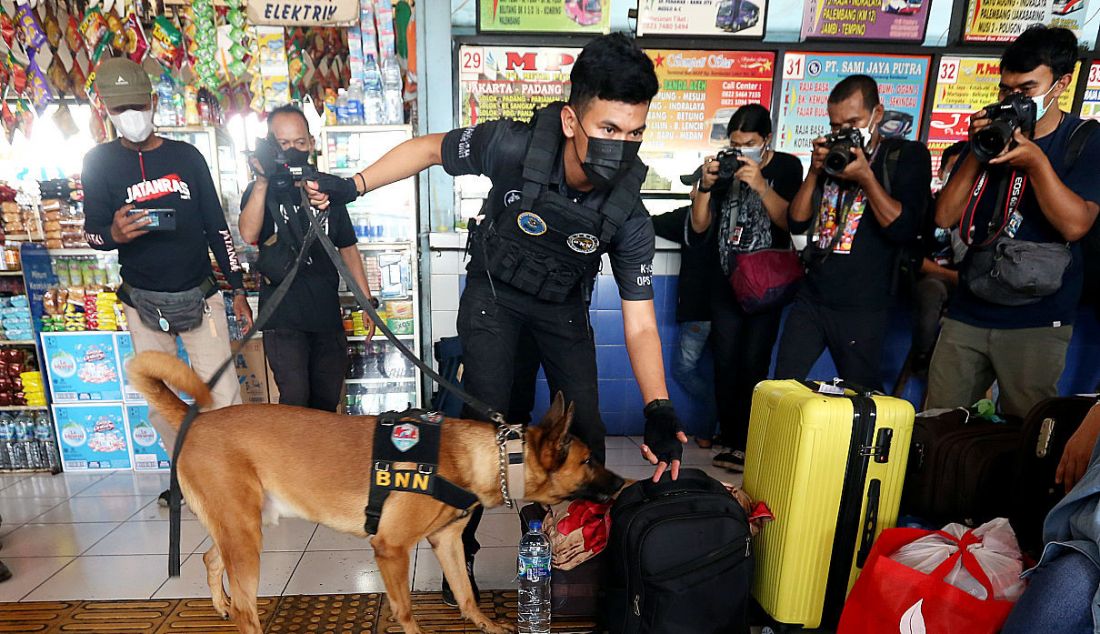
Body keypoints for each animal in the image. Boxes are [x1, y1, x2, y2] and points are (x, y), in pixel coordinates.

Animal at [125, 352, 624, 634]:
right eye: (588, 461)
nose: (623, 484)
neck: (493, 456)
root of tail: (196, 419)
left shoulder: (446, 541)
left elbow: (465, 594)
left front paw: (486, 625)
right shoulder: (391, 549)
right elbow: (404, 611)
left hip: (243, 526)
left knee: (212, 561)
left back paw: (220, 605)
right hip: (247, 536)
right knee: (249, 609)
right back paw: (238, 612)